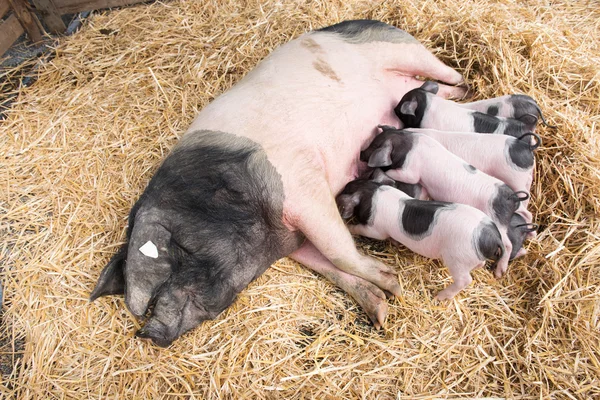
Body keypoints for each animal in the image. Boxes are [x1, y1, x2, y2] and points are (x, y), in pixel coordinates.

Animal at [89, 19, 466, 346]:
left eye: (171, 267)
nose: (147, 333)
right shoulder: (295, 239)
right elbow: (327, 264)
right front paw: (381, 310)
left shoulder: (302, 186)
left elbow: (338, 249)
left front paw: (395, 284)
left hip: (401, 47)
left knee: (454, 77)